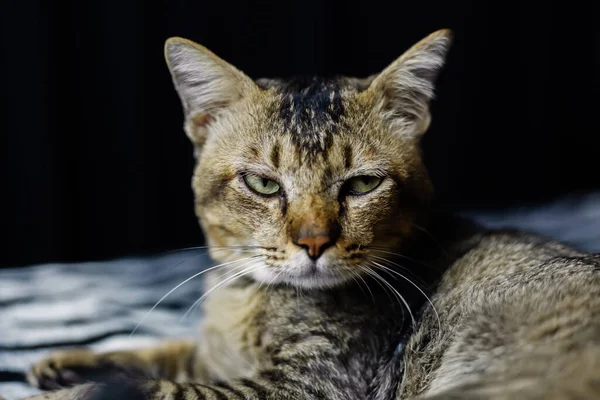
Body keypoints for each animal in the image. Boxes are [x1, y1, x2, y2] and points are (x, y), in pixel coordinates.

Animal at [22, 28, 600, 400]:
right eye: (262, 183)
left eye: (363, 184)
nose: (314, 242)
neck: (246, 298)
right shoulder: (214, 354)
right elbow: (166, 351)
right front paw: (69, 361)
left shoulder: (312, 385)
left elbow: (170, 389)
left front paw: (71, 391)